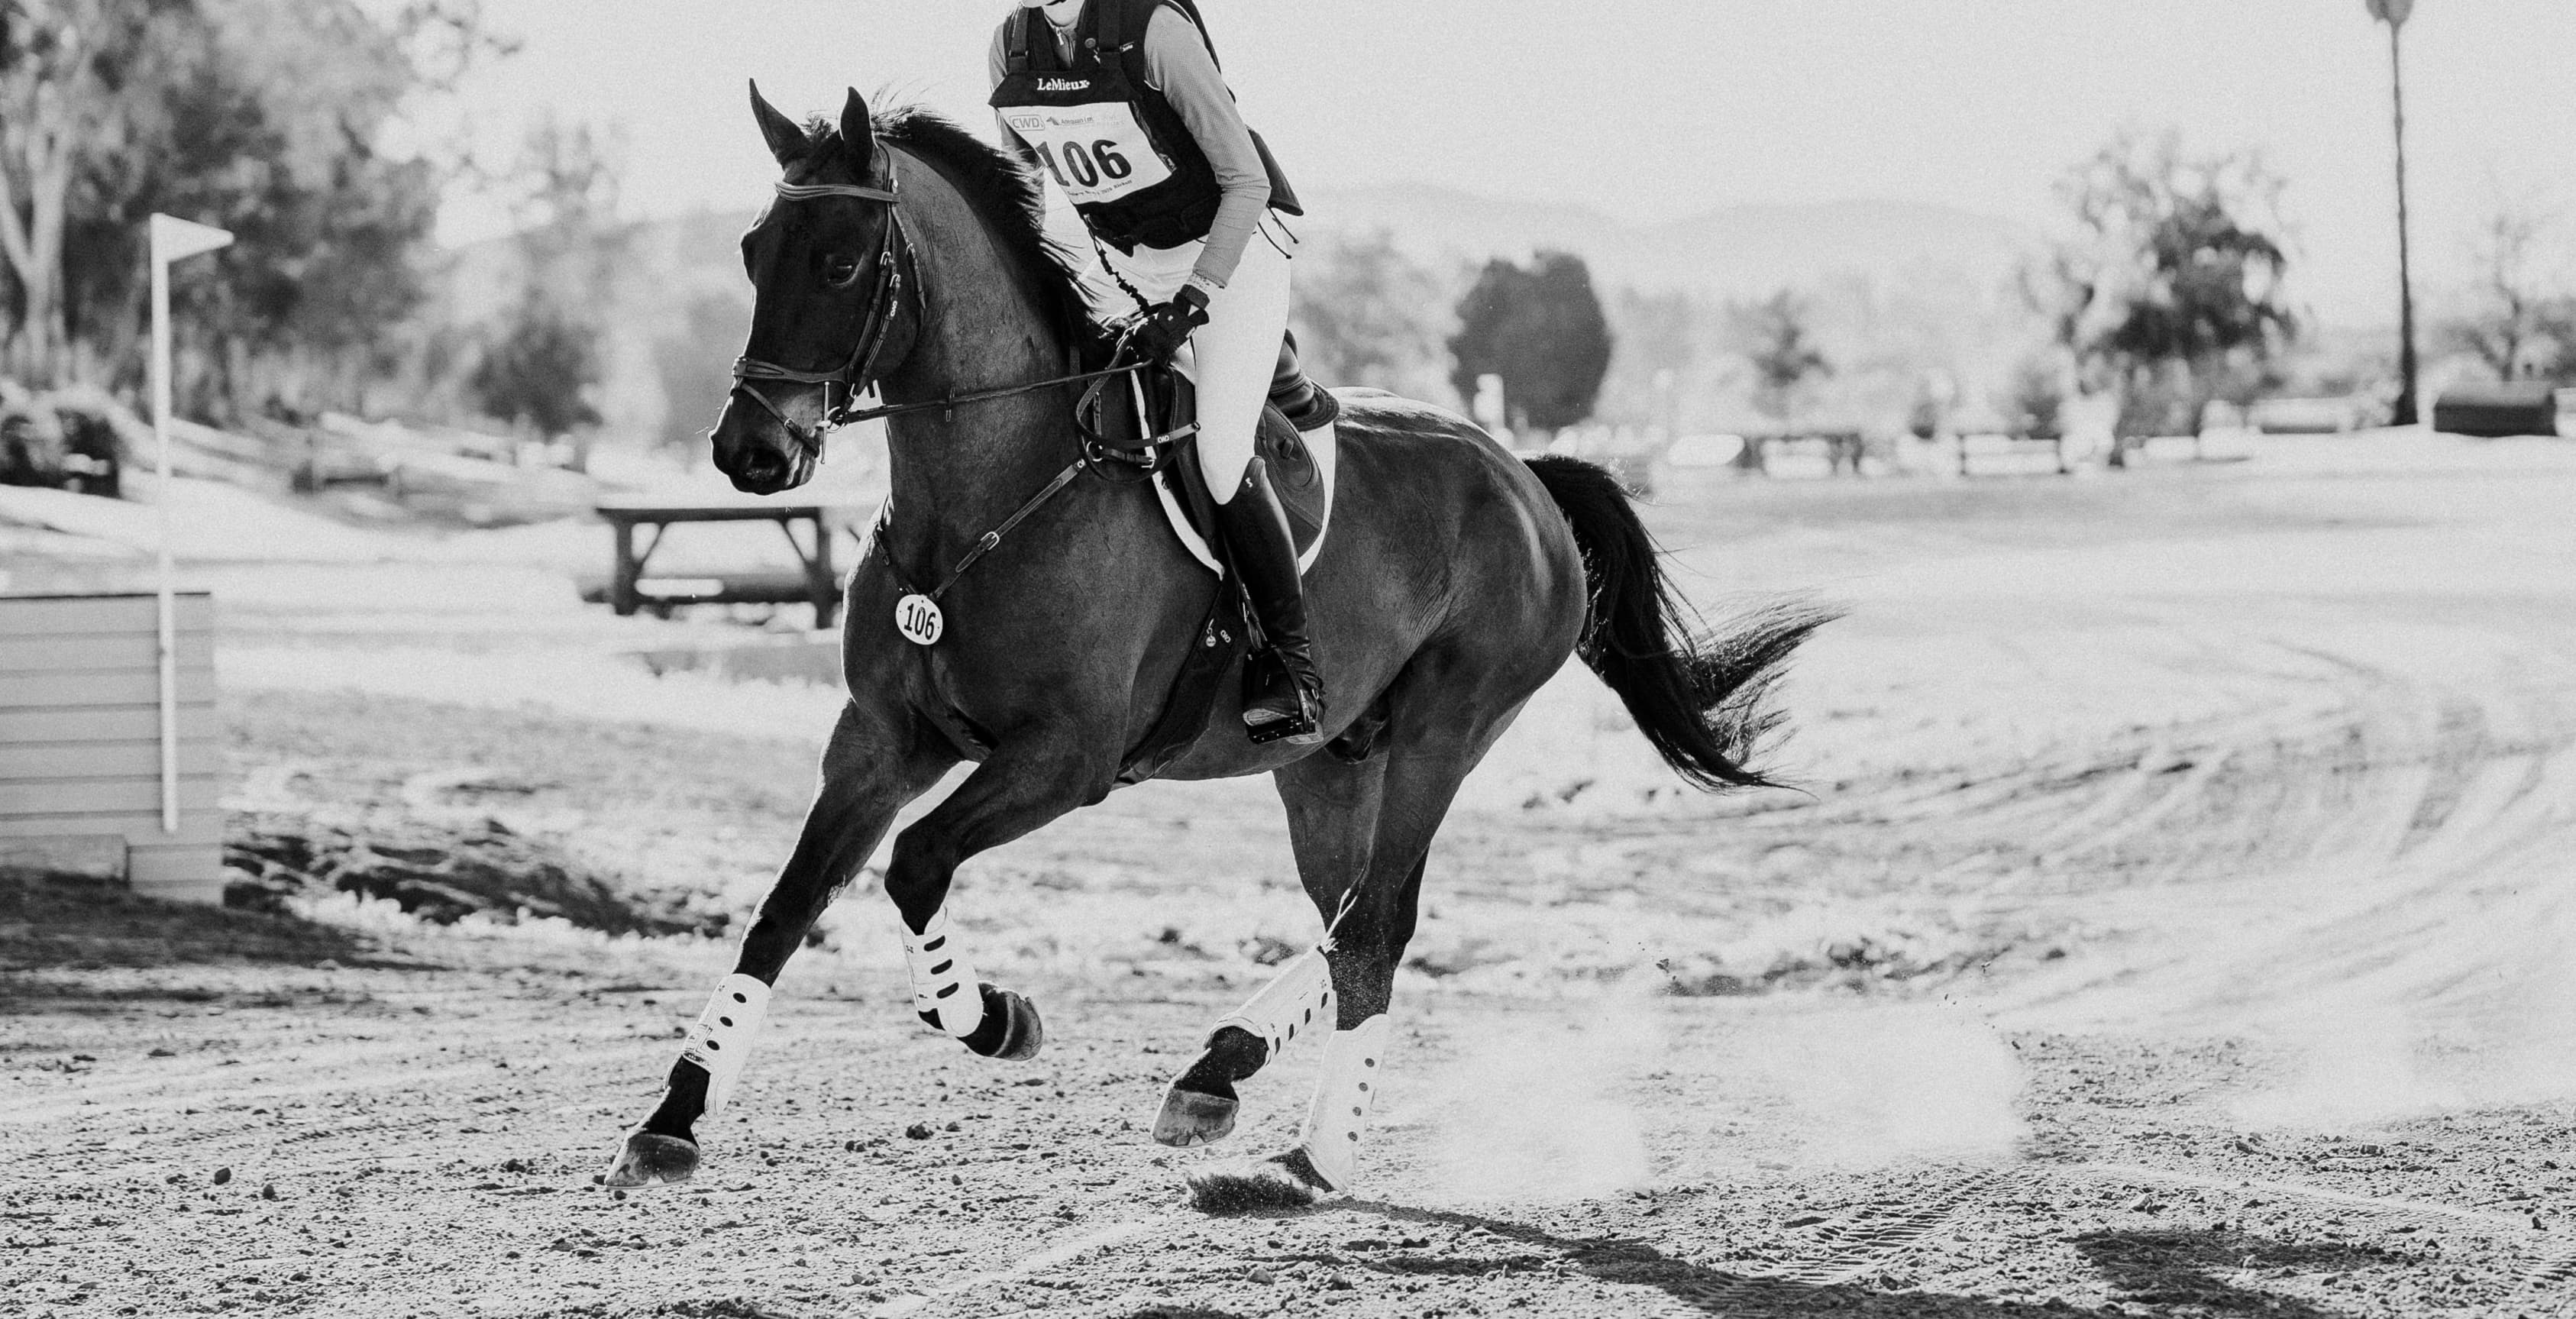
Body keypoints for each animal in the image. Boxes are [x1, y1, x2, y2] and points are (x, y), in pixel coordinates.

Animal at [603, 85, 1832, 1204]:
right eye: (754, 250)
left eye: (843, 261)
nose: (751, 453)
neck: (989, 493)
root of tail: (1526, 475)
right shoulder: (877, 740)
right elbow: (787, 906)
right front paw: (675, 1115)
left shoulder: (1066, 757)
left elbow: (914, 865)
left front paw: (994, 1017)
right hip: (1326, 759)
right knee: (1344, 918)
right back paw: (1218, 1071)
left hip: (1447, 728)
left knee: (1379, 921)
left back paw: (1316, 1151)